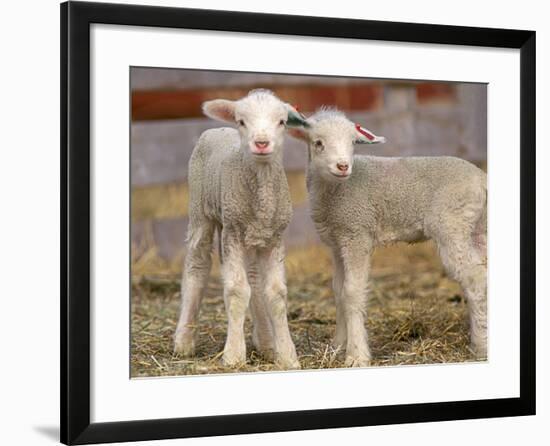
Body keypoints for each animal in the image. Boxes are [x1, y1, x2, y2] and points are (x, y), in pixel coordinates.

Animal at [175, 89, 308, 368]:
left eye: (281, 121)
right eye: (242, 121)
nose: (261, 143)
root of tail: (216, 129)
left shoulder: (275, 237)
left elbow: (276, 294)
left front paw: (287, 355)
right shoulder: (233, 234)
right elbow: (237, 290)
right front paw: (234, 355)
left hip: (252, 236)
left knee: (255, 280)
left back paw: (266, 342)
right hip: (201, 212)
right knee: (197, 266)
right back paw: (184, 341)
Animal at [292, 108, 490, 366]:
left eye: (352, 143)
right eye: (318, 143)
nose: (343, 166)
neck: (335, 191)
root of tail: (482, 179)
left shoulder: (357, 234)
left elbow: (352, 292)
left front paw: (356, 355)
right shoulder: (337, 241)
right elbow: (338, 290)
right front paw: (337, 347)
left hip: (452, 225)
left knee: (475, 278)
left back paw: (480, 346)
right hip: (477, 229)